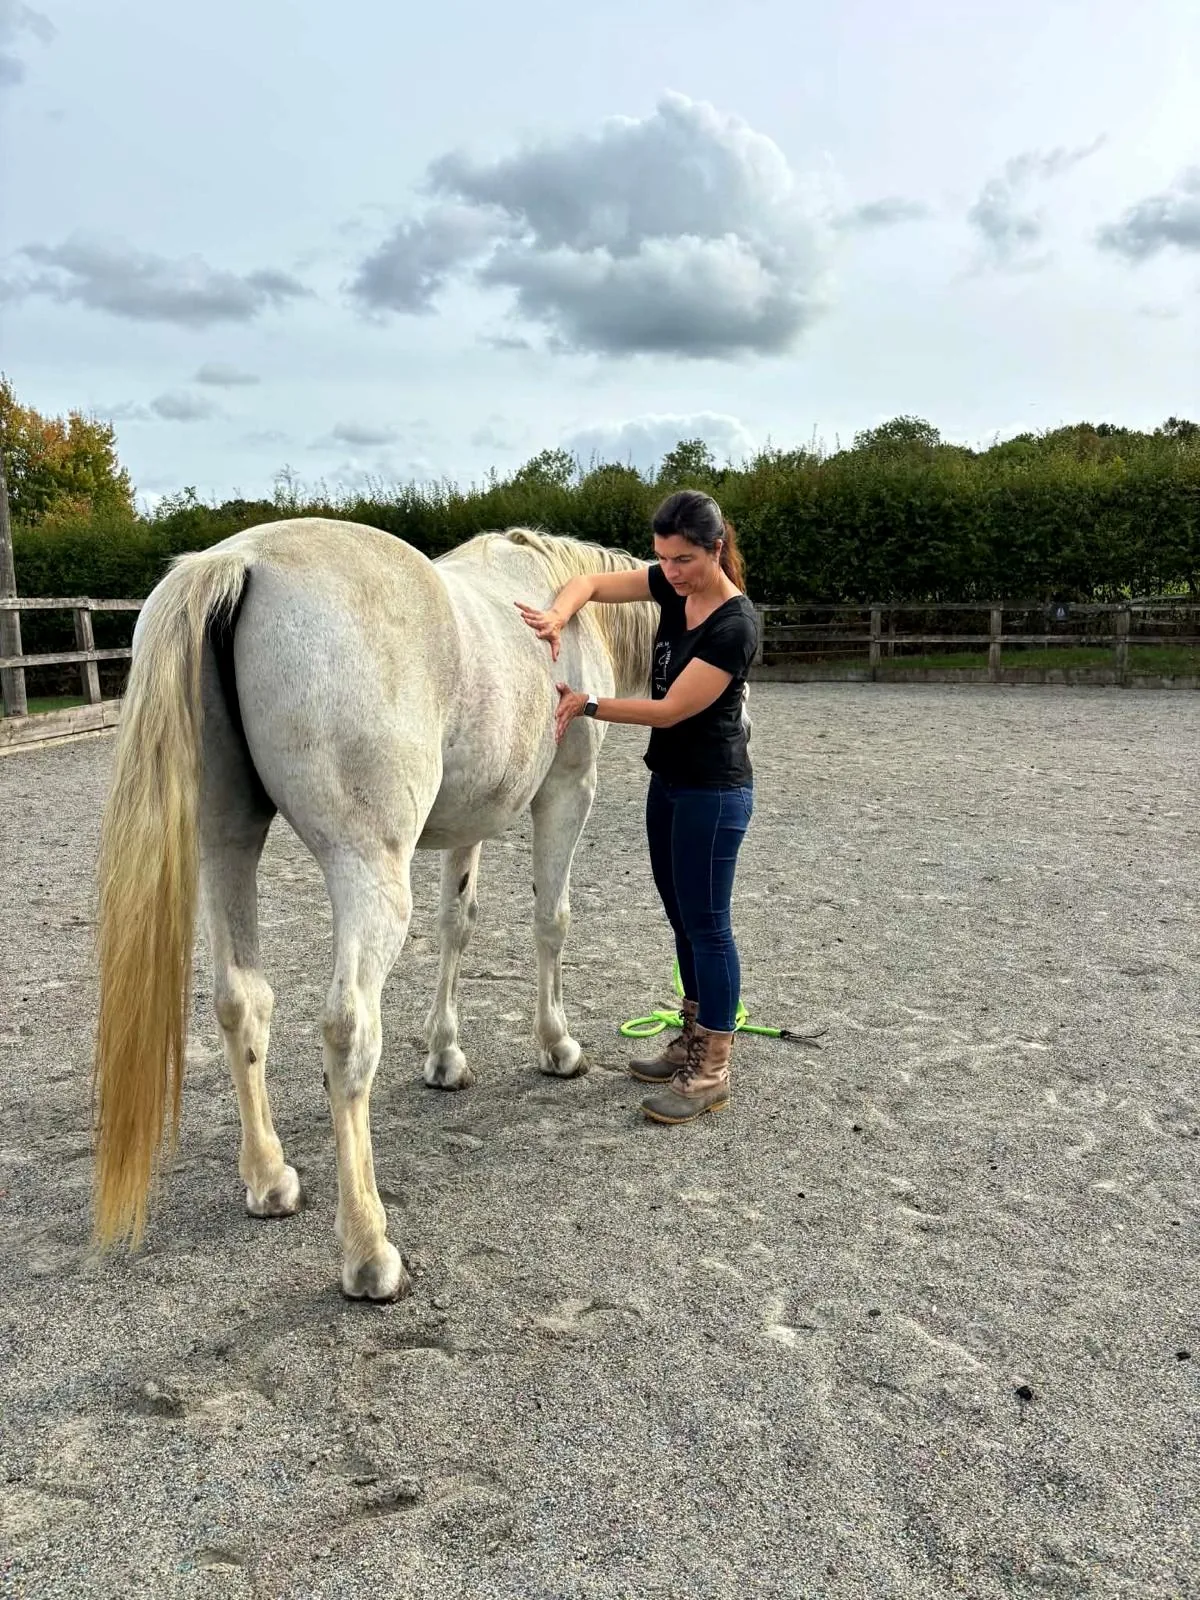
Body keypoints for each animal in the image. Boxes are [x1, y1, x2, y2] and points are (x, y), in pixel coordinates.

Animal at [91, 517, 657, 1301]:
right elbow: (552, 921)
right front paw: (557, 1046)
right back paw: (368, 1251)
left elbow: (458, 925)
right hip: (368, 871)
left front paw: (445, 1056)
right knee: (348, 1028)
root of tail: (237, 561)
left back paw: (270, 1180)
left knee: (241, 999)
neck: (555, 597)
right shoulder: (567, 792)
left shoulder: (468, 822)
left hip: (227, 843)